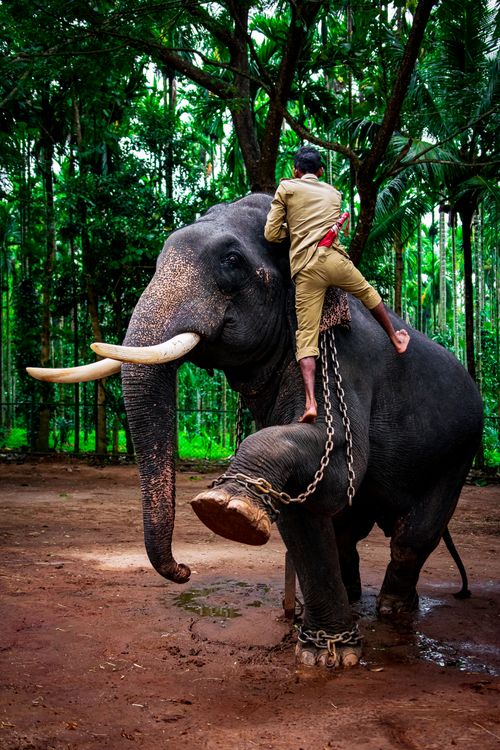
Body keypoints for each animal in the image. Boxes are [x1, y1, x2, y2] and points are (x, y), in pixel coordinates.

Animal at [28, 193, 483, 669]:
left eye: (231, 261)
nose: (184, 570)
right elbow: (307, 504)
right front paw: (324, 653)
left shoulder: (343, 353)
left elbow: (339, 464)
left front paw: (225, 508)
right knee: (349, 529)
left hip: (459, 451)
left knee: (412, 536)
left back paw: (395, 610)